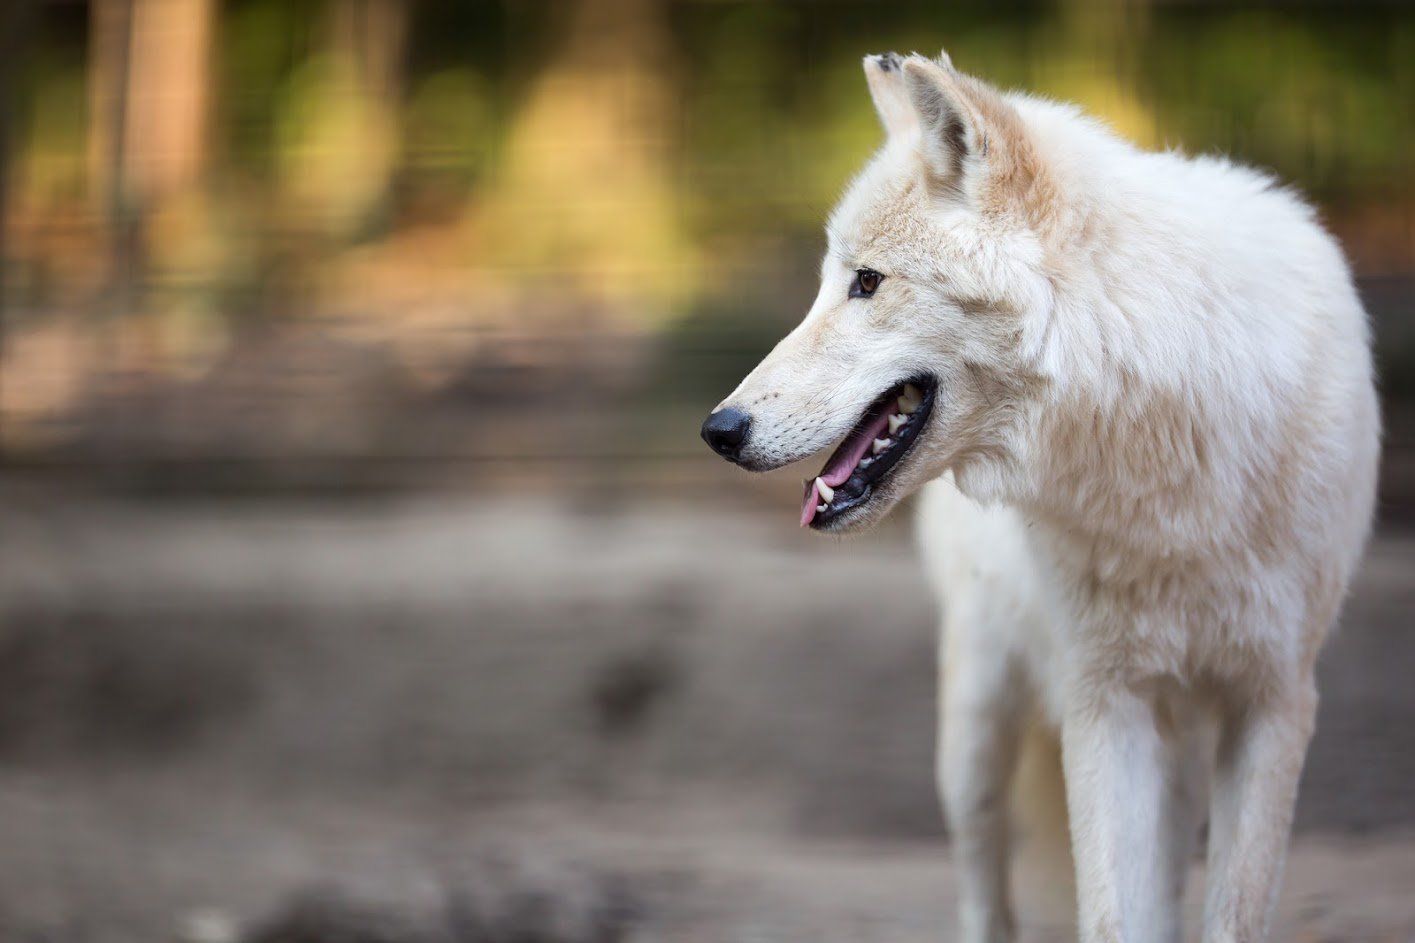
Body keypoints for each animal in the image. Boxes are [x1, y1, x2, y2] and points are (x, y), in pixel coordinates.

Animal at [699, 51, 1379, 943]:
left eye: (866, 282)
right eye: (829, 282)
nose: (718, 427)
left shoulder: (1272, 699)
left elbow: (1229, 911)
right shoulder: (1104, 702)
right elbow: (1110, 914)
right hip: (977, 737)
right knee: (985, 894)